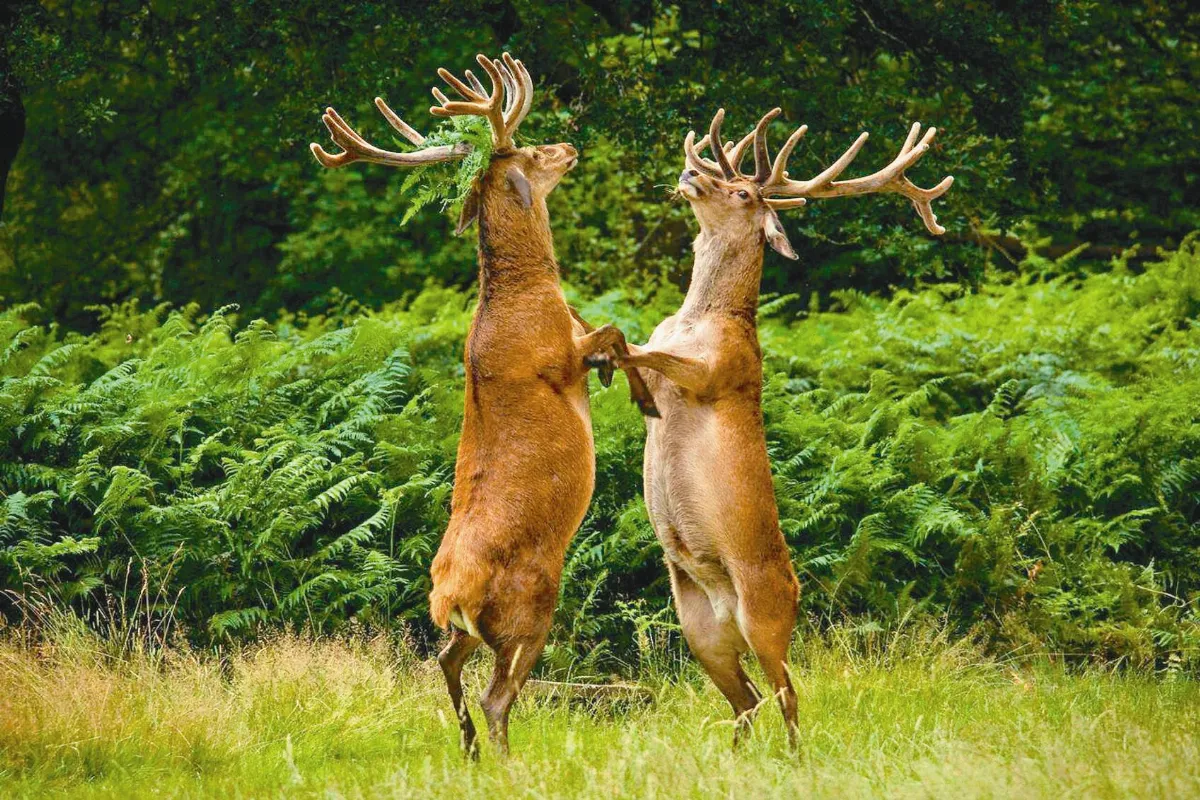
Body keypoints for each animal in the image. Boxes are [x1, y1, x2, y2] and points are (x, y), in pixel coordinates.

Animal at [310, 53, 658, 756]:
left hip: (467, 630)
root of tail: (449, 596)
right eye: (529, 149)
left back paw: (469, 749)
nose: (569, 148)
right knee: (500, 696)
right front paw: (632, 387)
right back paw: (504, 758)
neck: (529, 294)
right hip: (529, 608)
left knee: (445, 664)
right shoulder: (560, 356)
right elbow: (613, 333)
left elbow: (612, 332)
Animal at [615, 107, 953, 747]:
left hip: (765, 613)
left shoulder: (720, 371)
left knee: (788, 694)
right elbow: (635, 352)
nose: (689, 175)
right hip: (698, 627)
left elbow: (643, 350)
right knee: (746, 699)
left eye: (743, 192)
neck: (699, 319)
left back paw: (793, 756)